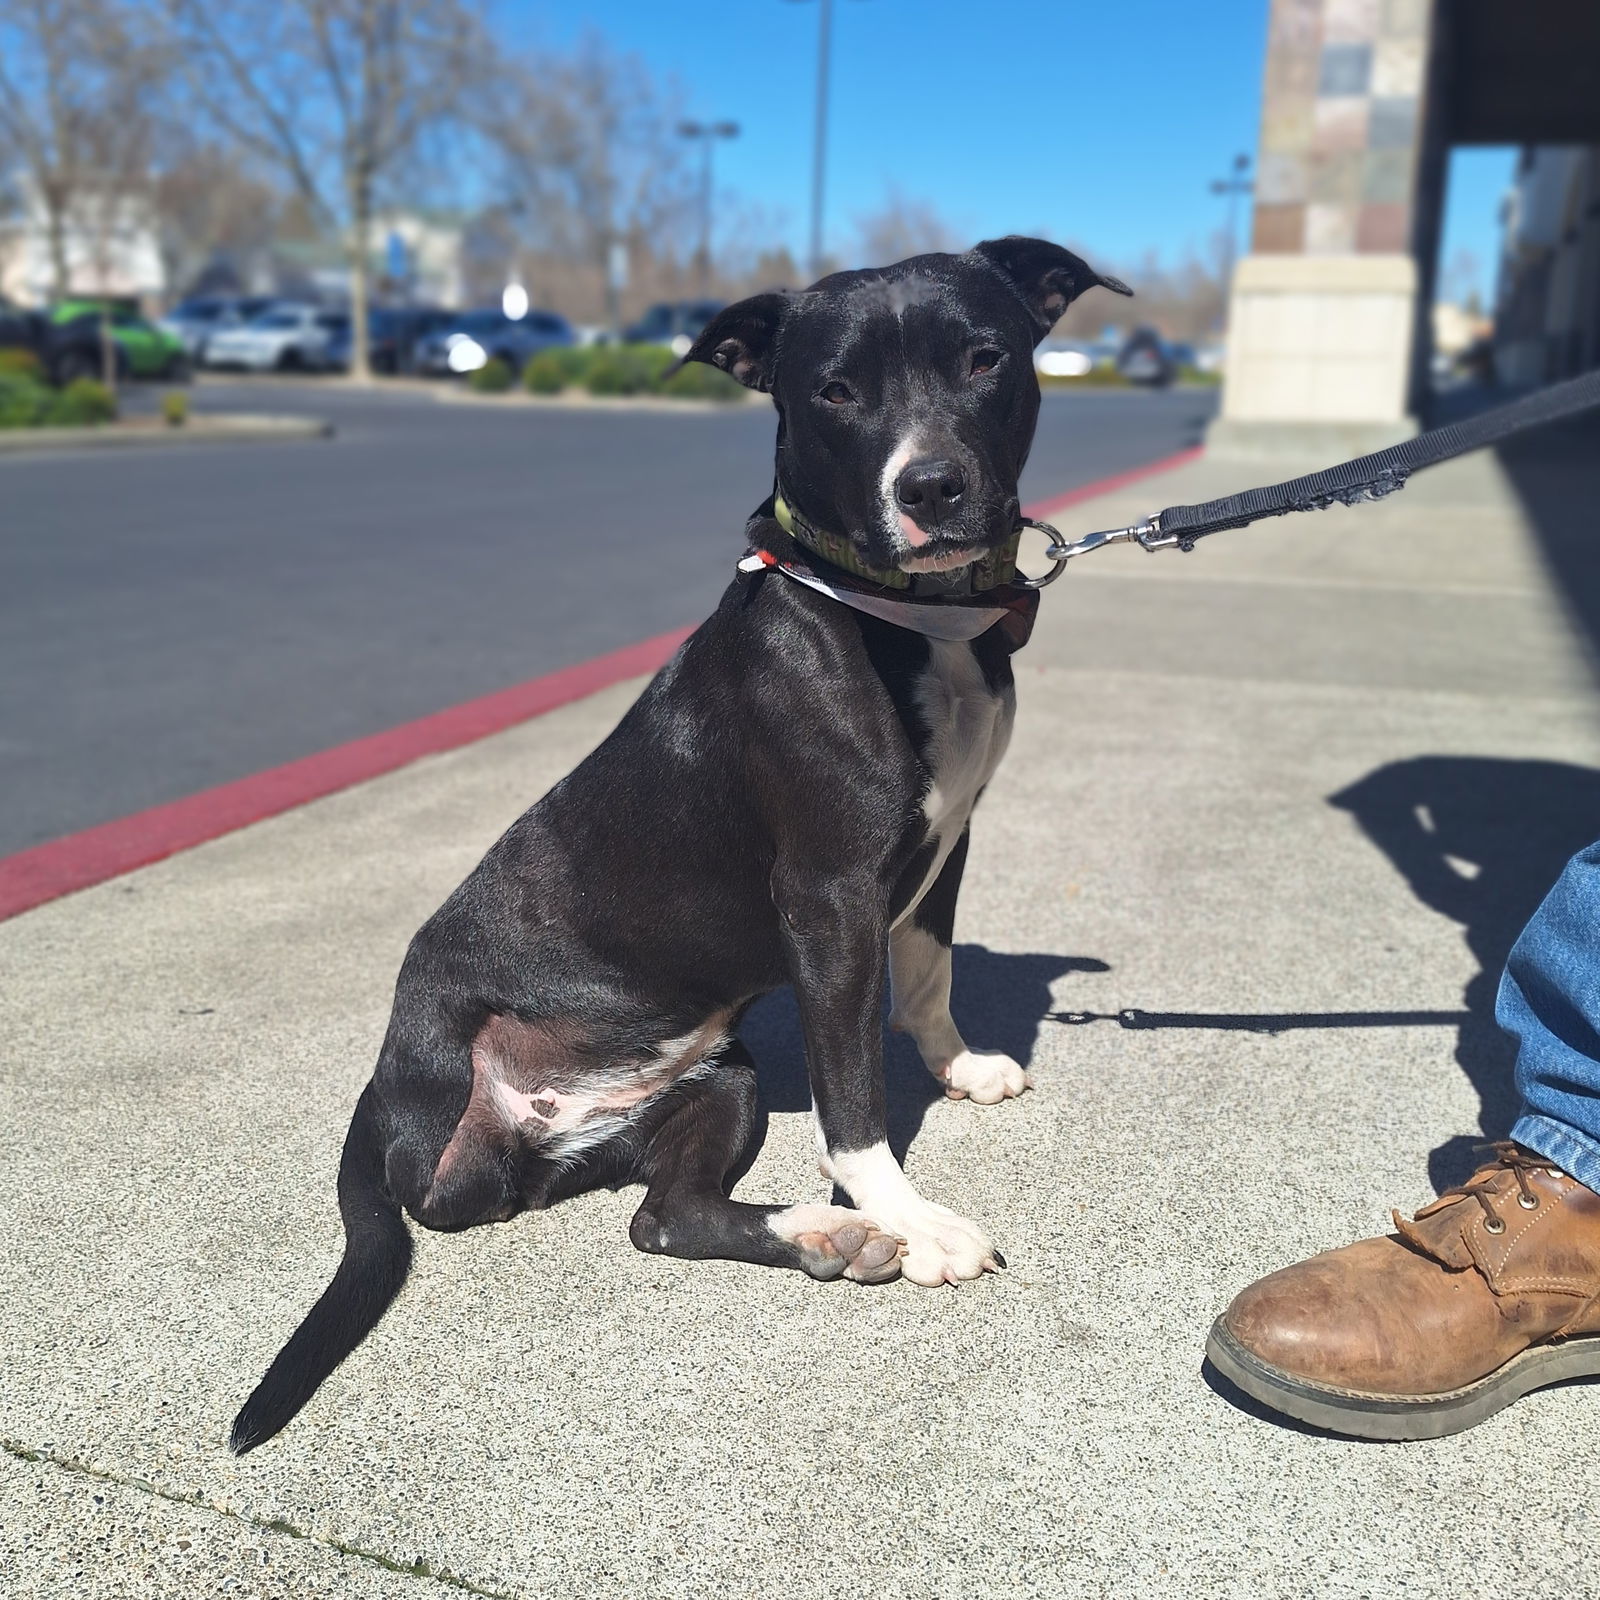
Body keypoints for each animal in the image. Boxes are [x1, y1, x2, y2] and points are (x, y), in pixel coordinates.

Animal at [233, 236, 1139, 1452]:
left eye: (985, 358)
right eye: (833, 391)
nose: (932, 487)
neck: (901, 618)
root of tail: (384, 1091)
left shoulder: (946, 846)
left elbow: (929, 975)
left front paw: (955, 1070)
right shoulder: (830, 900)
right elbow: (856, 1101)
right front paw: (911, 1215)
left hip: (722, 1080)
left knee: (663, 1218)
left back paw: (820, 1235)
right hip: (489, 1115)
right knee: (517, 1207)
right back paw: (852, 1228)